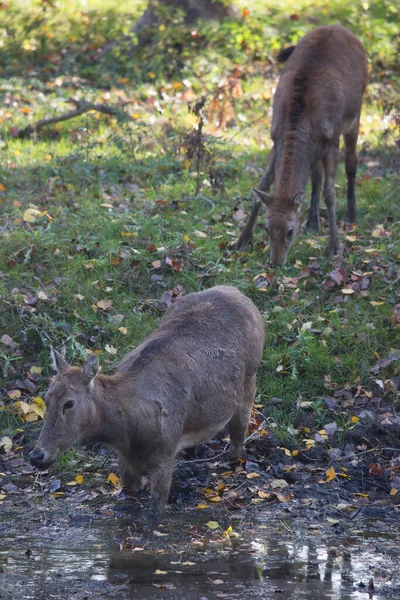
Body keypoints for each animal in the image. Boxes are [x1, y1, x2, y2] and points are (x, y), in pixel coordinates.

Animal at [28, 284, 266, 520]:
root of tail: (238, 292)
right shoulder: (125, 462)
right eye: (47, 398)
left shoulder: (165, 456)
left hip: (250, 379)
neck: (128, 431)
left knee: (240, 428)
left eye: (69, 403)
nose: (36, 455)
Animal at [234, 25, 368, 264]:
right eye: (266, 229)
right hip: (316, 149)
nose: (276, 263)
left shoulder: (331, 140)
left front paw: (334, 248)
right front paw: (243, 240)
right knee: (315, 175)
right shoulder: (276, 138)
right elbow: (264, 184)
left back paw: (351, 217)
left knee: (352, 163)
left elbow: (330, 194)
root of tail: (341, 28)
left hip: (356, 114)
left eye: (290, 231)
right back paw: (313, 221)